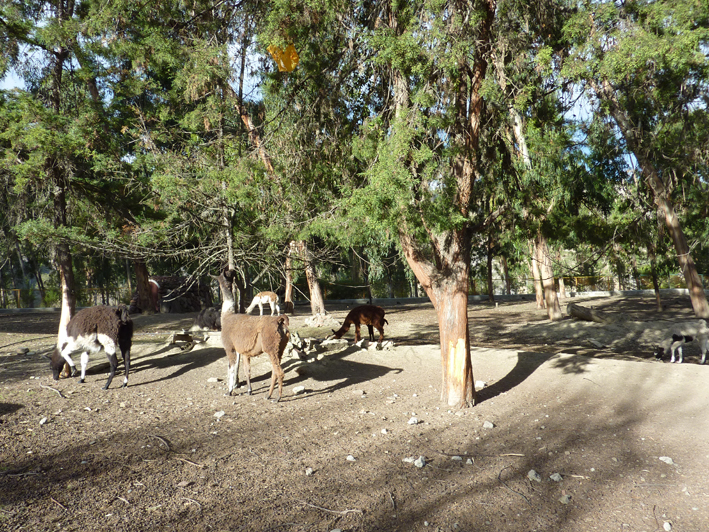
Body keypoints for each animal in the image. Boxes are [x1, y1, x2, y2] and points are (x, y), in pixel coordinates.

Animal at [217, 268, 292, 402]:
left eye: (227, 275)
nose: (232, 270)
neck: (226, 317)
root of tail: (279, 321)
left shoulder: (230, 347)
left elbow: (231, 369)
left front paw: (229, 391)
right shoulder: (244, 351)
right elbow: (246, 370)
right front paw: (249, 391)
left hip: (270, 348)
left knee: (279, 372)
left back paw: (277, 398)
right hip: (280, 348)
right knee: (274, 371)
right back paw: (268, 395)